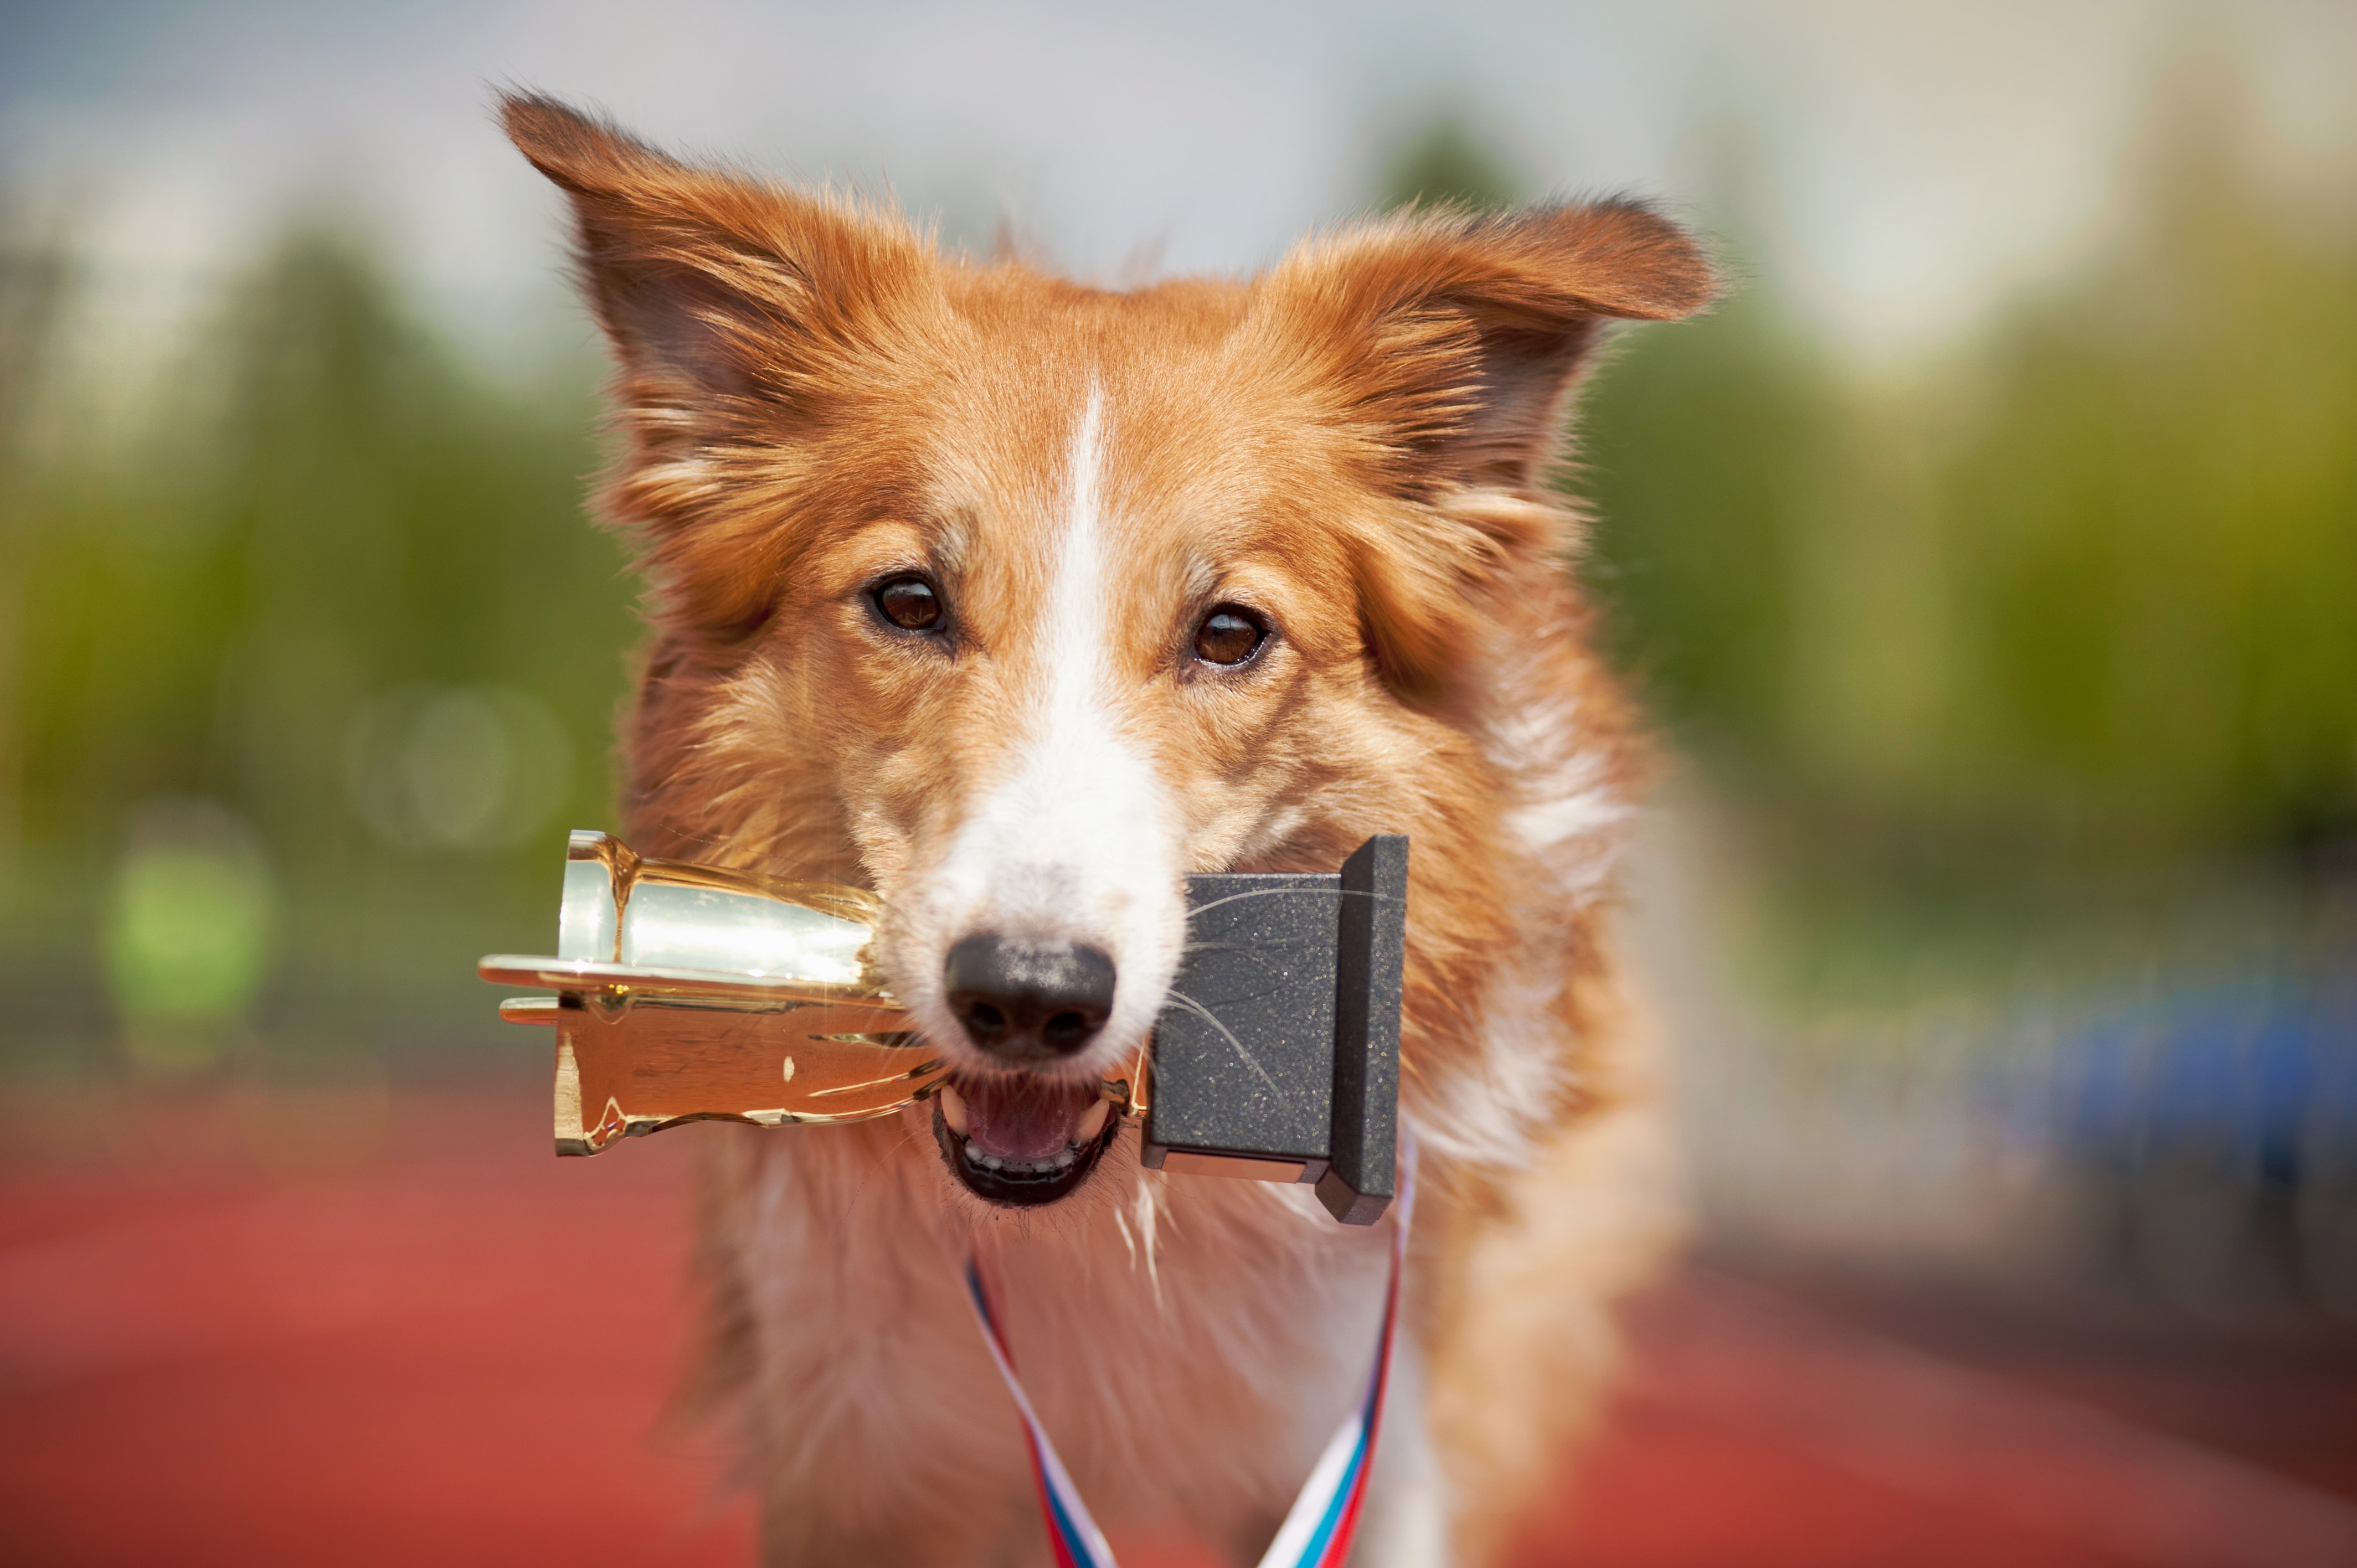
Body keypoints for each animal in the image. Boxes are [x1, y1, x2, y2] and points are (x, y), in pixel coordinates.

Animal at [502, 97, 1716, 1565]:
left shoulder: (1369, 1445)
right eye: (908, 601)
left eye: (1230, 633)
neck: (1089, 1223)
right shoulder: (868, 1466)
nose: (1027, 999)